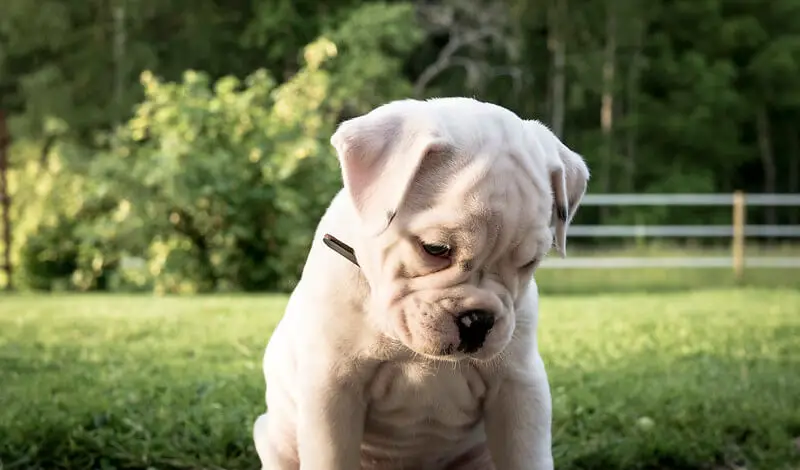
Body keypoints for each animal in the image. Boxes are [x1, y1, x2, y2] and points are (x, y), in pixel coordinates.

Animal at [253, 97, 592, 468]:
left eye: (529, 263)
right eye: (435, 249)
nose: (478, 320)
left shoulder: (518, 385)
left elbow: (526, 456)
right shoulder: (333, 387)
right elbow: (332, 458)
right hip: (273, 435)